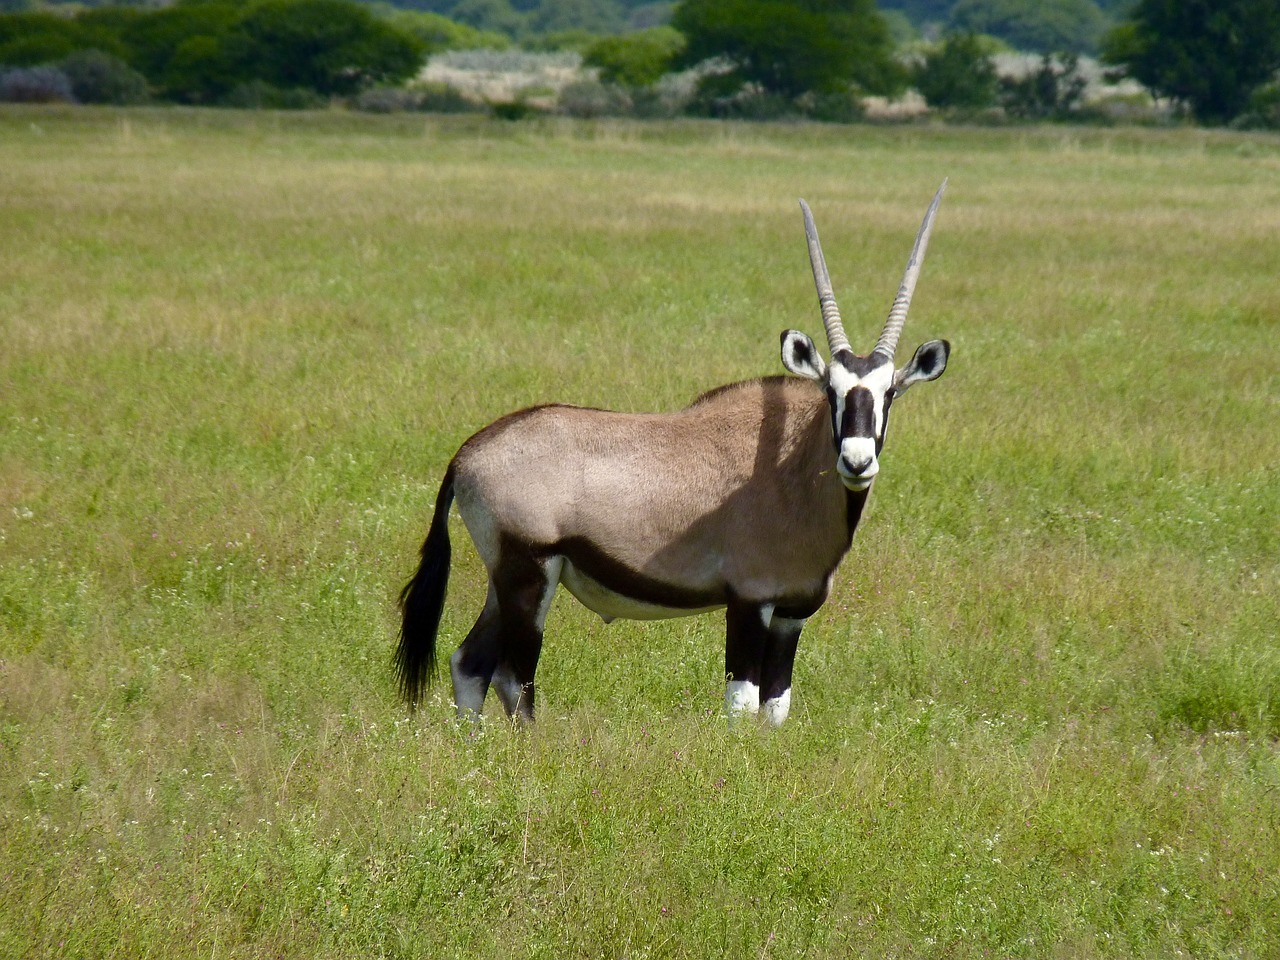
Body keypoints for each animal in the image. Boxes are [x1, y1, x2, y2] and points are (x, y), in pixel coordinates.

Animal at [399, 180, 952, 727]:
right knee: (514, 680)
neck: (789, 466)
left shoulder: (790, 615)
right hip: (529, 575)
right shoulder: (749, 602)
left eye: (889, 392)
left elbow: (775, 708)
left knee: (469, 663)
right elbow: (741, 705)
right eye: (831, 391)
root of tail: (467, 455)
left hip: (505, 580)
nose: (857, 462)